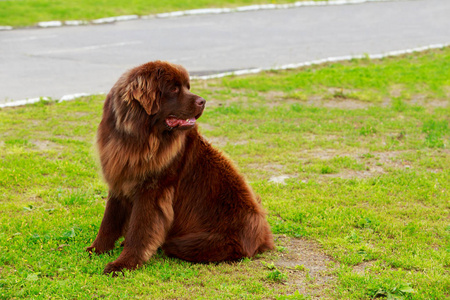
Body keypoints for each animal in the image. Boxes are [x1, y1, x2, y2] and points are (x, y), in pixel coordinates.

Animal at [86, 60, 272, 274]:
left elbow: (138, 229)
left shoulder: (152, 190)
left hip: (200, 242)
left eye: (187, 87)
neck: (140, 138)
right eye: (174, 89)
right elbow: (109, 220)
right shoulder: (119, 177)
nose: (203, 101)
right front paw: (96, 249)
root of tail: (263, 236)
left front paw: (123, 264)